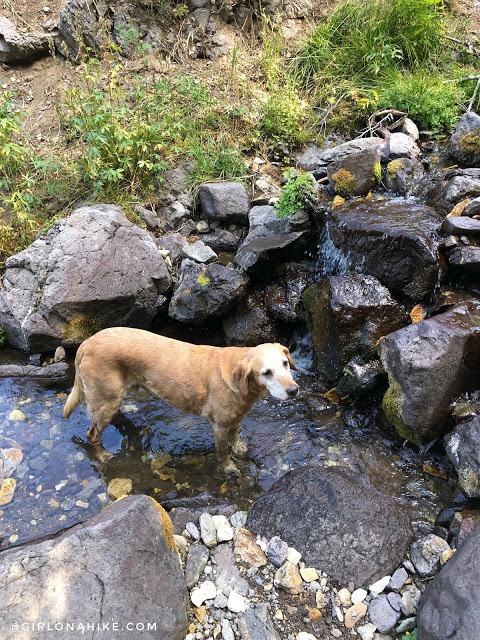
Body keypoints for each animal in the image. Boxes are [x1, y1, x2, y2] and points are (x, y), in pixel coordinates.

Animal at [62, 328, 298, 472]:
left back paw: (128, 408)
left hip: (112, 395)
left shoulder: (236, 418)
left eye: (285, 363)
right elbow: (222, 452)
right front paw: (228, 467)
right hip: (105, 402)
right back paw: (102, 456)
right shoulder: (219, 426)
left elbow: (236, 436)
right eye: (267, 372)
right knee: (92, 435)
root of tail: (86, 343)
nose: (294, 390)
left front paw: (239, 448)